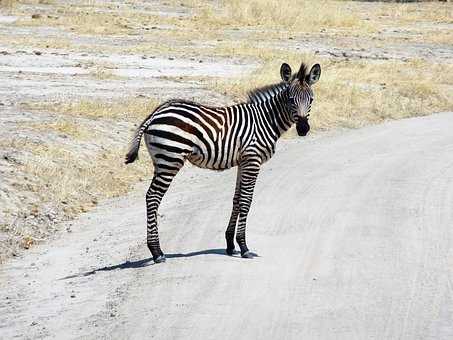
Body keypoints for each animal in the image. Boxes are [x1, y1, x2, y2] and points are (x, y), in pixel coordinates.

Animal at [125, 61, 320, 262]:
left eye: (311, 100)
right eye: (290, 100)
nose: (303, 129)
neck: (266, 120)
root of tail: (155, 113)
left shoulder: (243, 162)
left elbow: (237, 199)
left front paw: (230, 244)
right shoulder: (253, 160)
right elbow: (246, 201)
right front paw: (244, 246)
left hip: (161, 160)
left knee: (151, 196)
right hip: (170, 159)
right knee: (153, 196)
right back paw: (157, 252)